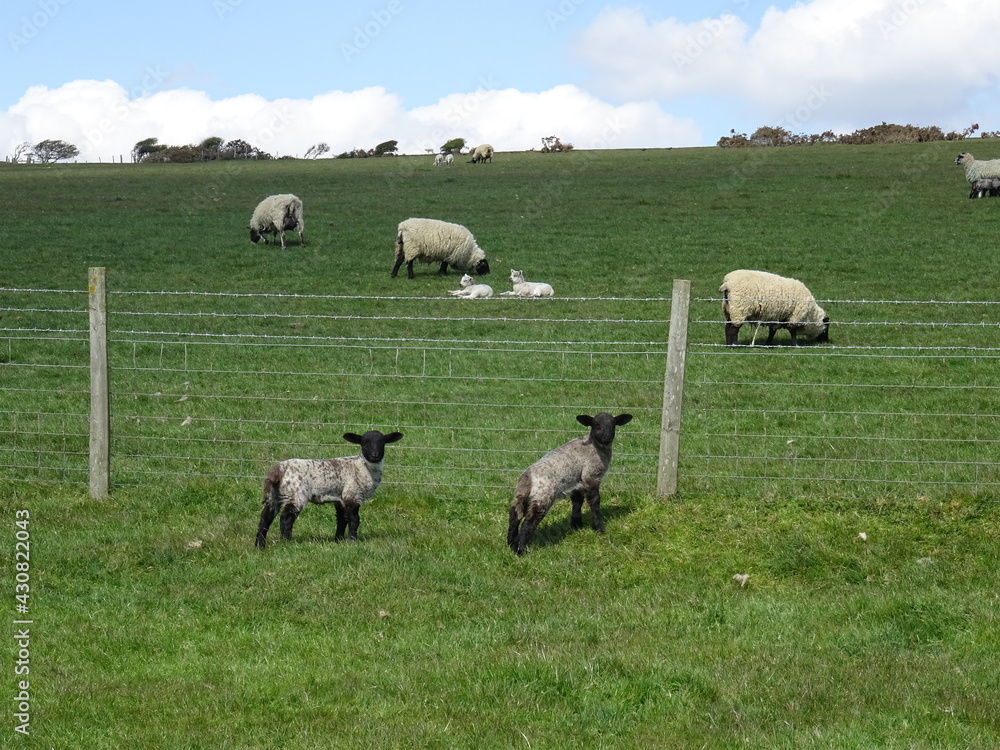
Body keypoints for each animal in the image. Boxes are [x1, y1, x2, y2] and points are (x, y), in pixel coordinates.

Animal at [255, 429, 403, 547]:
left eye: (382, 443)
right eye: (365, 443)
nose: (375, 455)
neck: (362, 467)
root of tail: (278, 470)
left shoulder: (340, 499)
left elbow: (342, 519)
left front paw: (338, 540)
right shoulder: (352, 495)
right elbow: (354, 520)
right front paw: (352, 540)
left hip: (276, 493)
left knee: (266, 517)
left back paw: (259, 545)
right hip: (295, 493)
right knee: (285, 518)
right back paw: (286, 542)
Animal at [507, 412, 633, 555]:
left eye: (613, 425)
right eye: (596, 425)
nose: (607, 438)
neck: (595, 446)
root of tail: (527, 478)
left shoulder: (577, 483)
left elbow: (577, 502)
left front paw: (577, 526)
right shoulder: (591, 476)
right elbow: (595, 502)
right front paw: (598, 528)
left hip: (523, 497)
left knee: (514, 515)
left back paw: (510, 543)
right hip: (543, 496)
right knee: (529, 521)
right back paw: (520, 550)